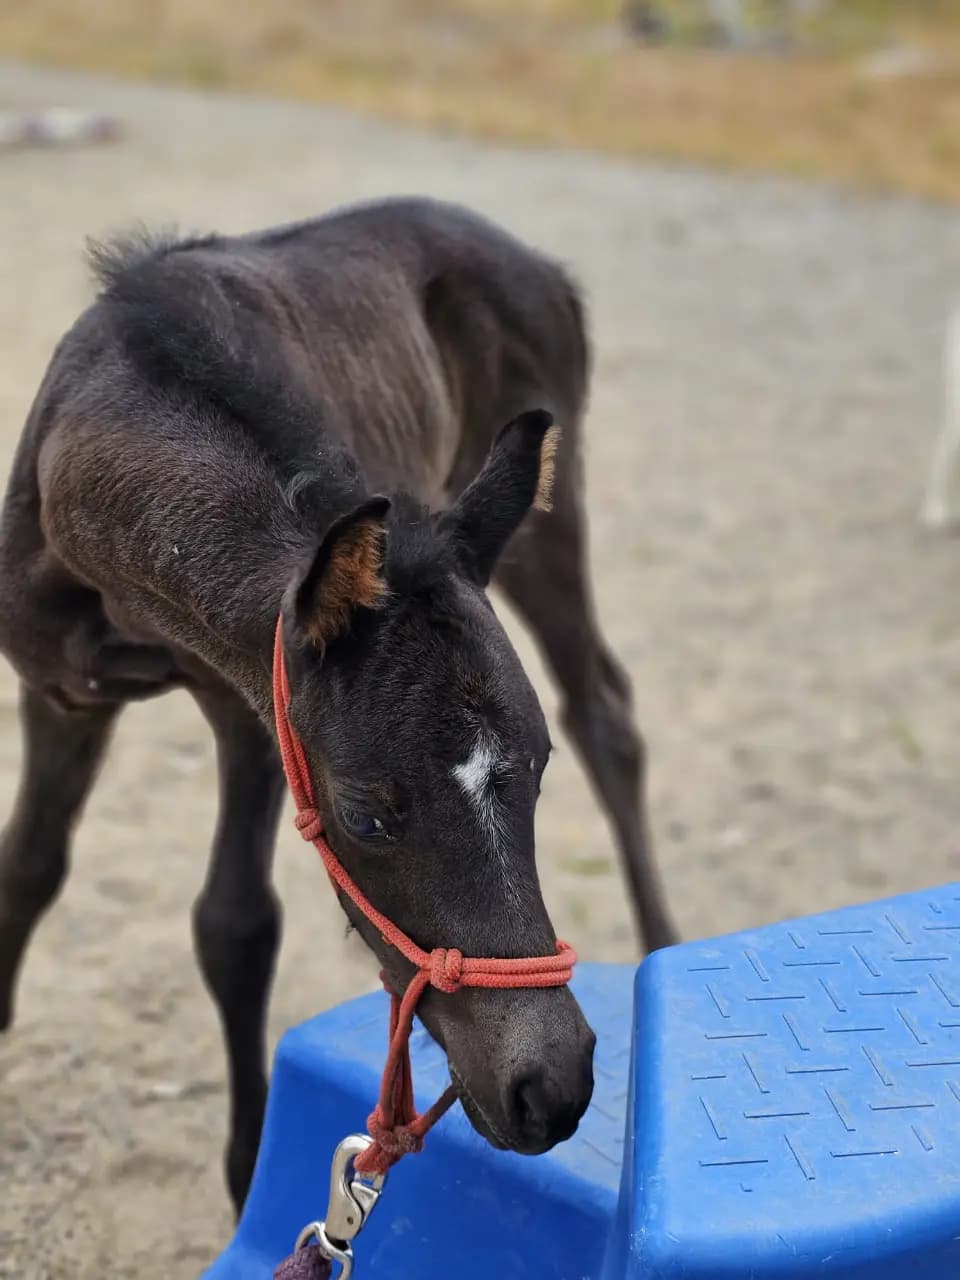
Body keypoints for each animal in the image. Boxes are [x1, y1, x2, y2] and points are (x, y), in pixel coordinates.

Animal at [0, 197, 677, 1212]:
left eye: (536, 774)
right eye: (367, 814)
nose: (551, 1087)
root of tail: (541, 268)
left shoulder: (248, 711)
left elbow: (234, 924)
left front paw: (250, 1175)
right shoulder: (62, 693)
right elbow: (30, 868)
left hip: (546, 522)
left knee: (605, 710)